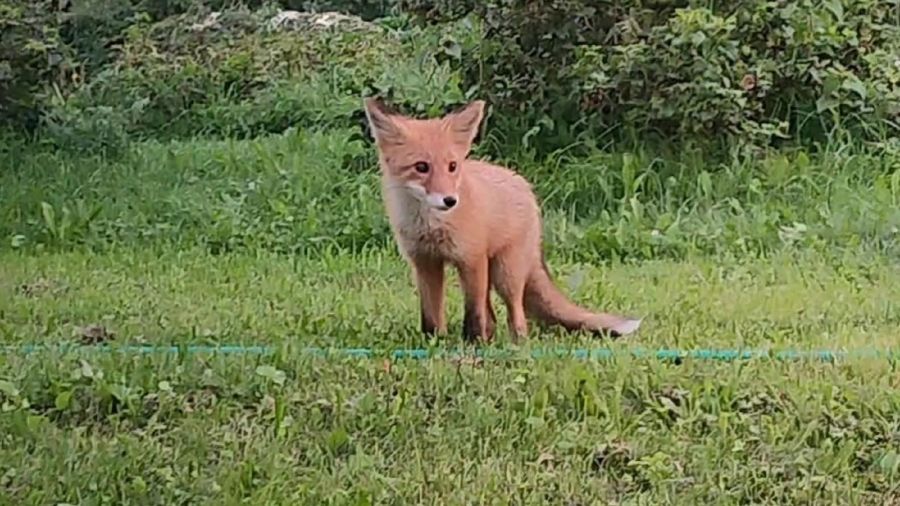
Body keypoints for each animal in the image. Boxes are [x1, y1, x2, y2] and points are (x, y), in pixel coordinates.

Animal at [358, 97, 640, 342]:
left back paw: (517, 343)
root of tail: (524, 184)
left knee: (516, 314)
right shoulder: (425, 263)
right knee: (492, 315)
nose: (450, 200)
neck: (431, 225)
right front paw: (433, 343)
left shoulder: (471, 259)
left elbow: (473, 315)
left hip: (505, 273)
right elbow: (431, 316)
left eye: (452, 166)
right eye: (421, 167)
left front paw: (472, 345)